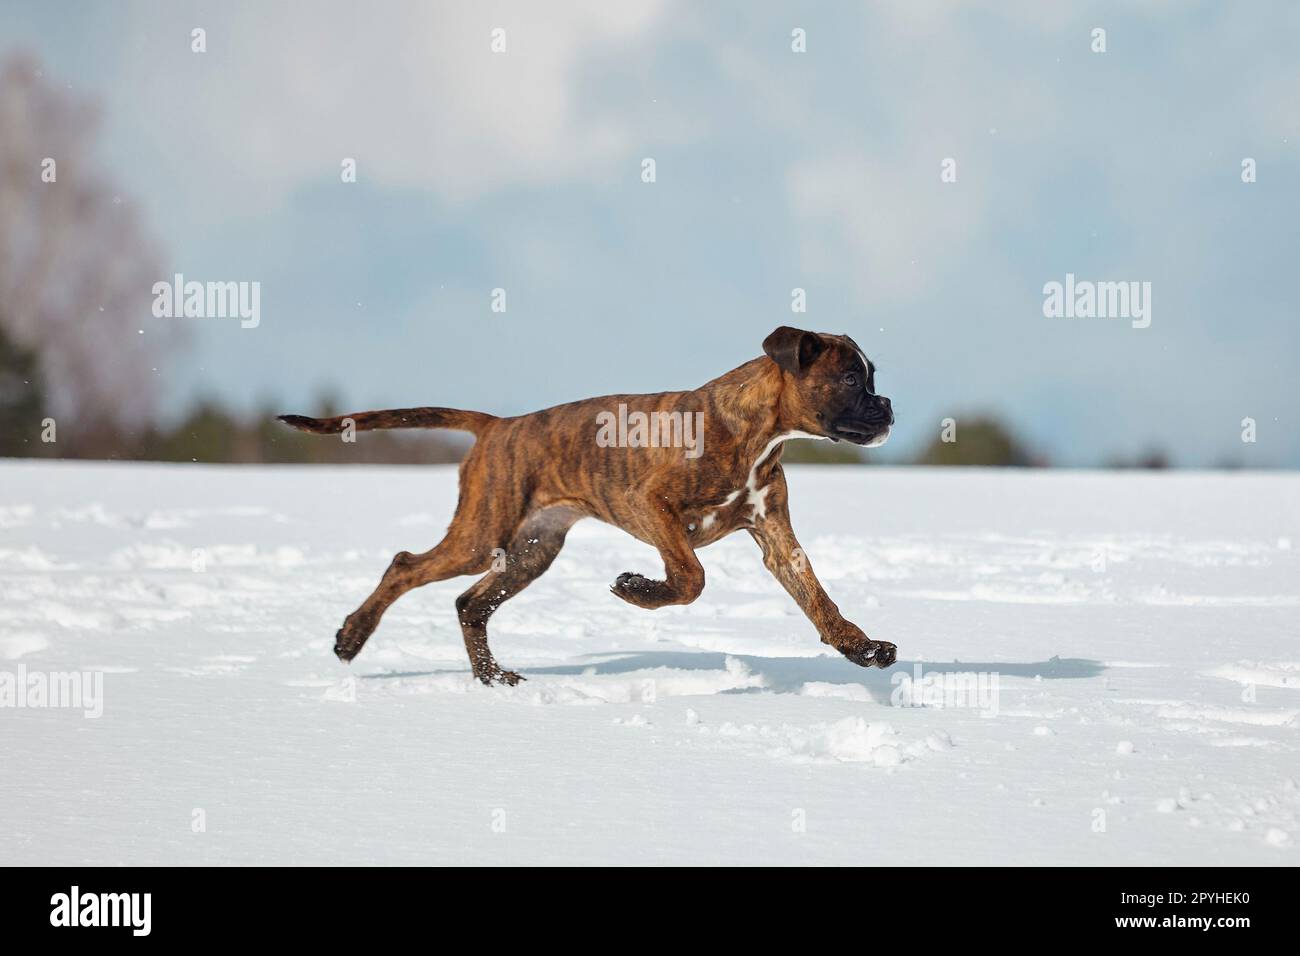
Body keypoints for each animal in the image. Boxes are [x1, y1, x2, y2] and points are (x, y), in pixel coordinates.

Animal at [279, 325, 894, 686]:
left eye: (871, 377)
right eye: (849, 378)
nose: (888, 405)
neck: (756, 432)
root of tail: (499, 426)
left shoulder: (778, 541)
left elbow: (819, 600)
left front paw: (861, 648)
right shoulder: (651, 503)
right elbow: (690, 577)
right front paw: (638, 590)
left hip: (530, 550)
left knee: (470, 603)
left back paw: (491, 678)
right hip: (482, 535)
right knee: (406, 565)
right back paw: (352, 637)